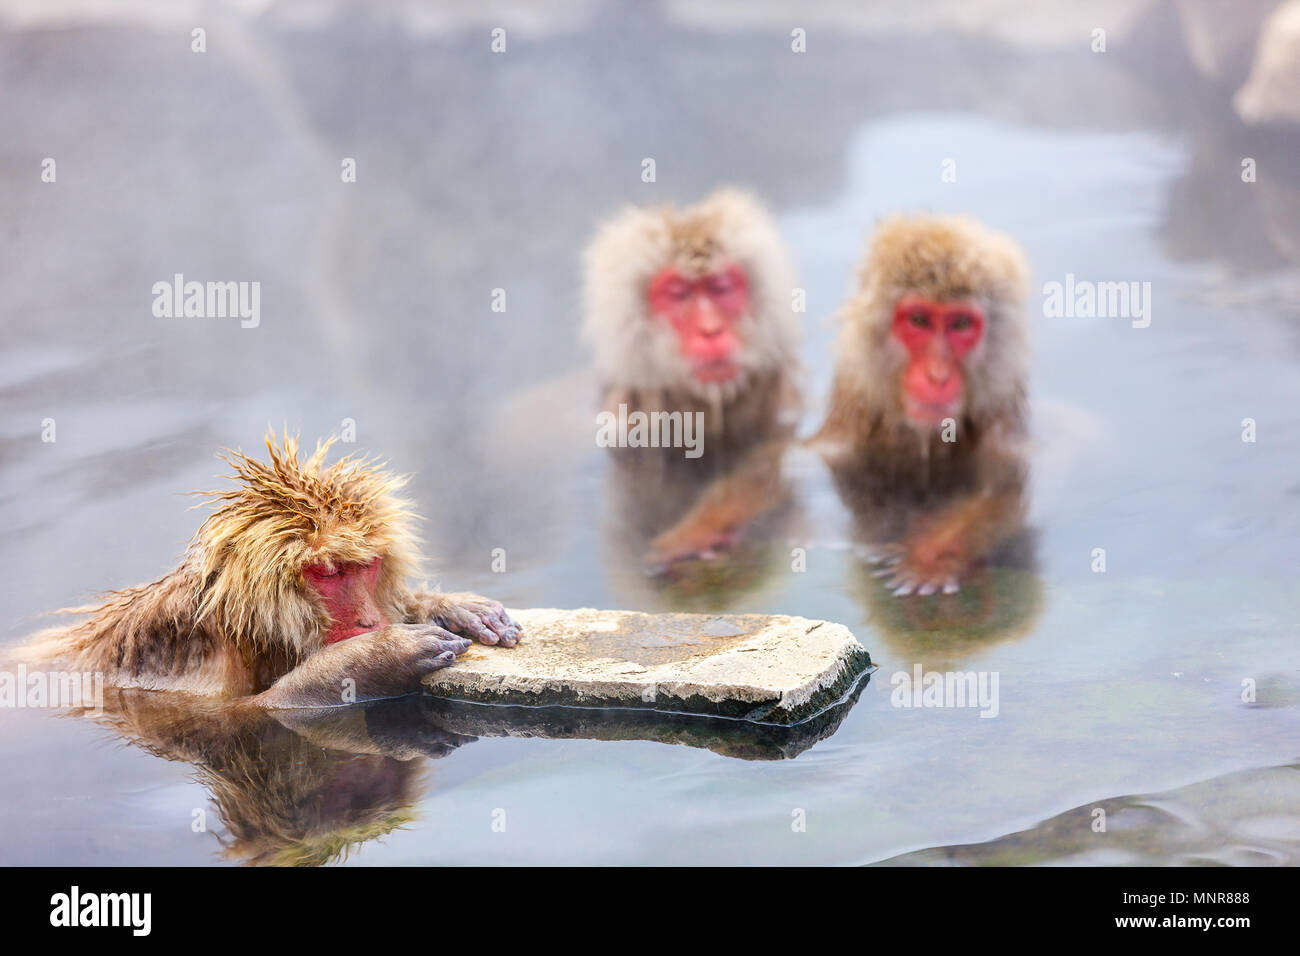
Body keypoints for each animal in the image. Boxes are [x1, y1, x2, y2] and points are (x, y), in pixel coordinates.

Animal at [20, 431, 520, 708]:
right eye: (329, 572)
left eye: (366, 567)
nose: (369, 620)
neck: (245, 627)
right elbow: (239, 719)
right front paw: (371, 660)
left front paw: (448, 607)